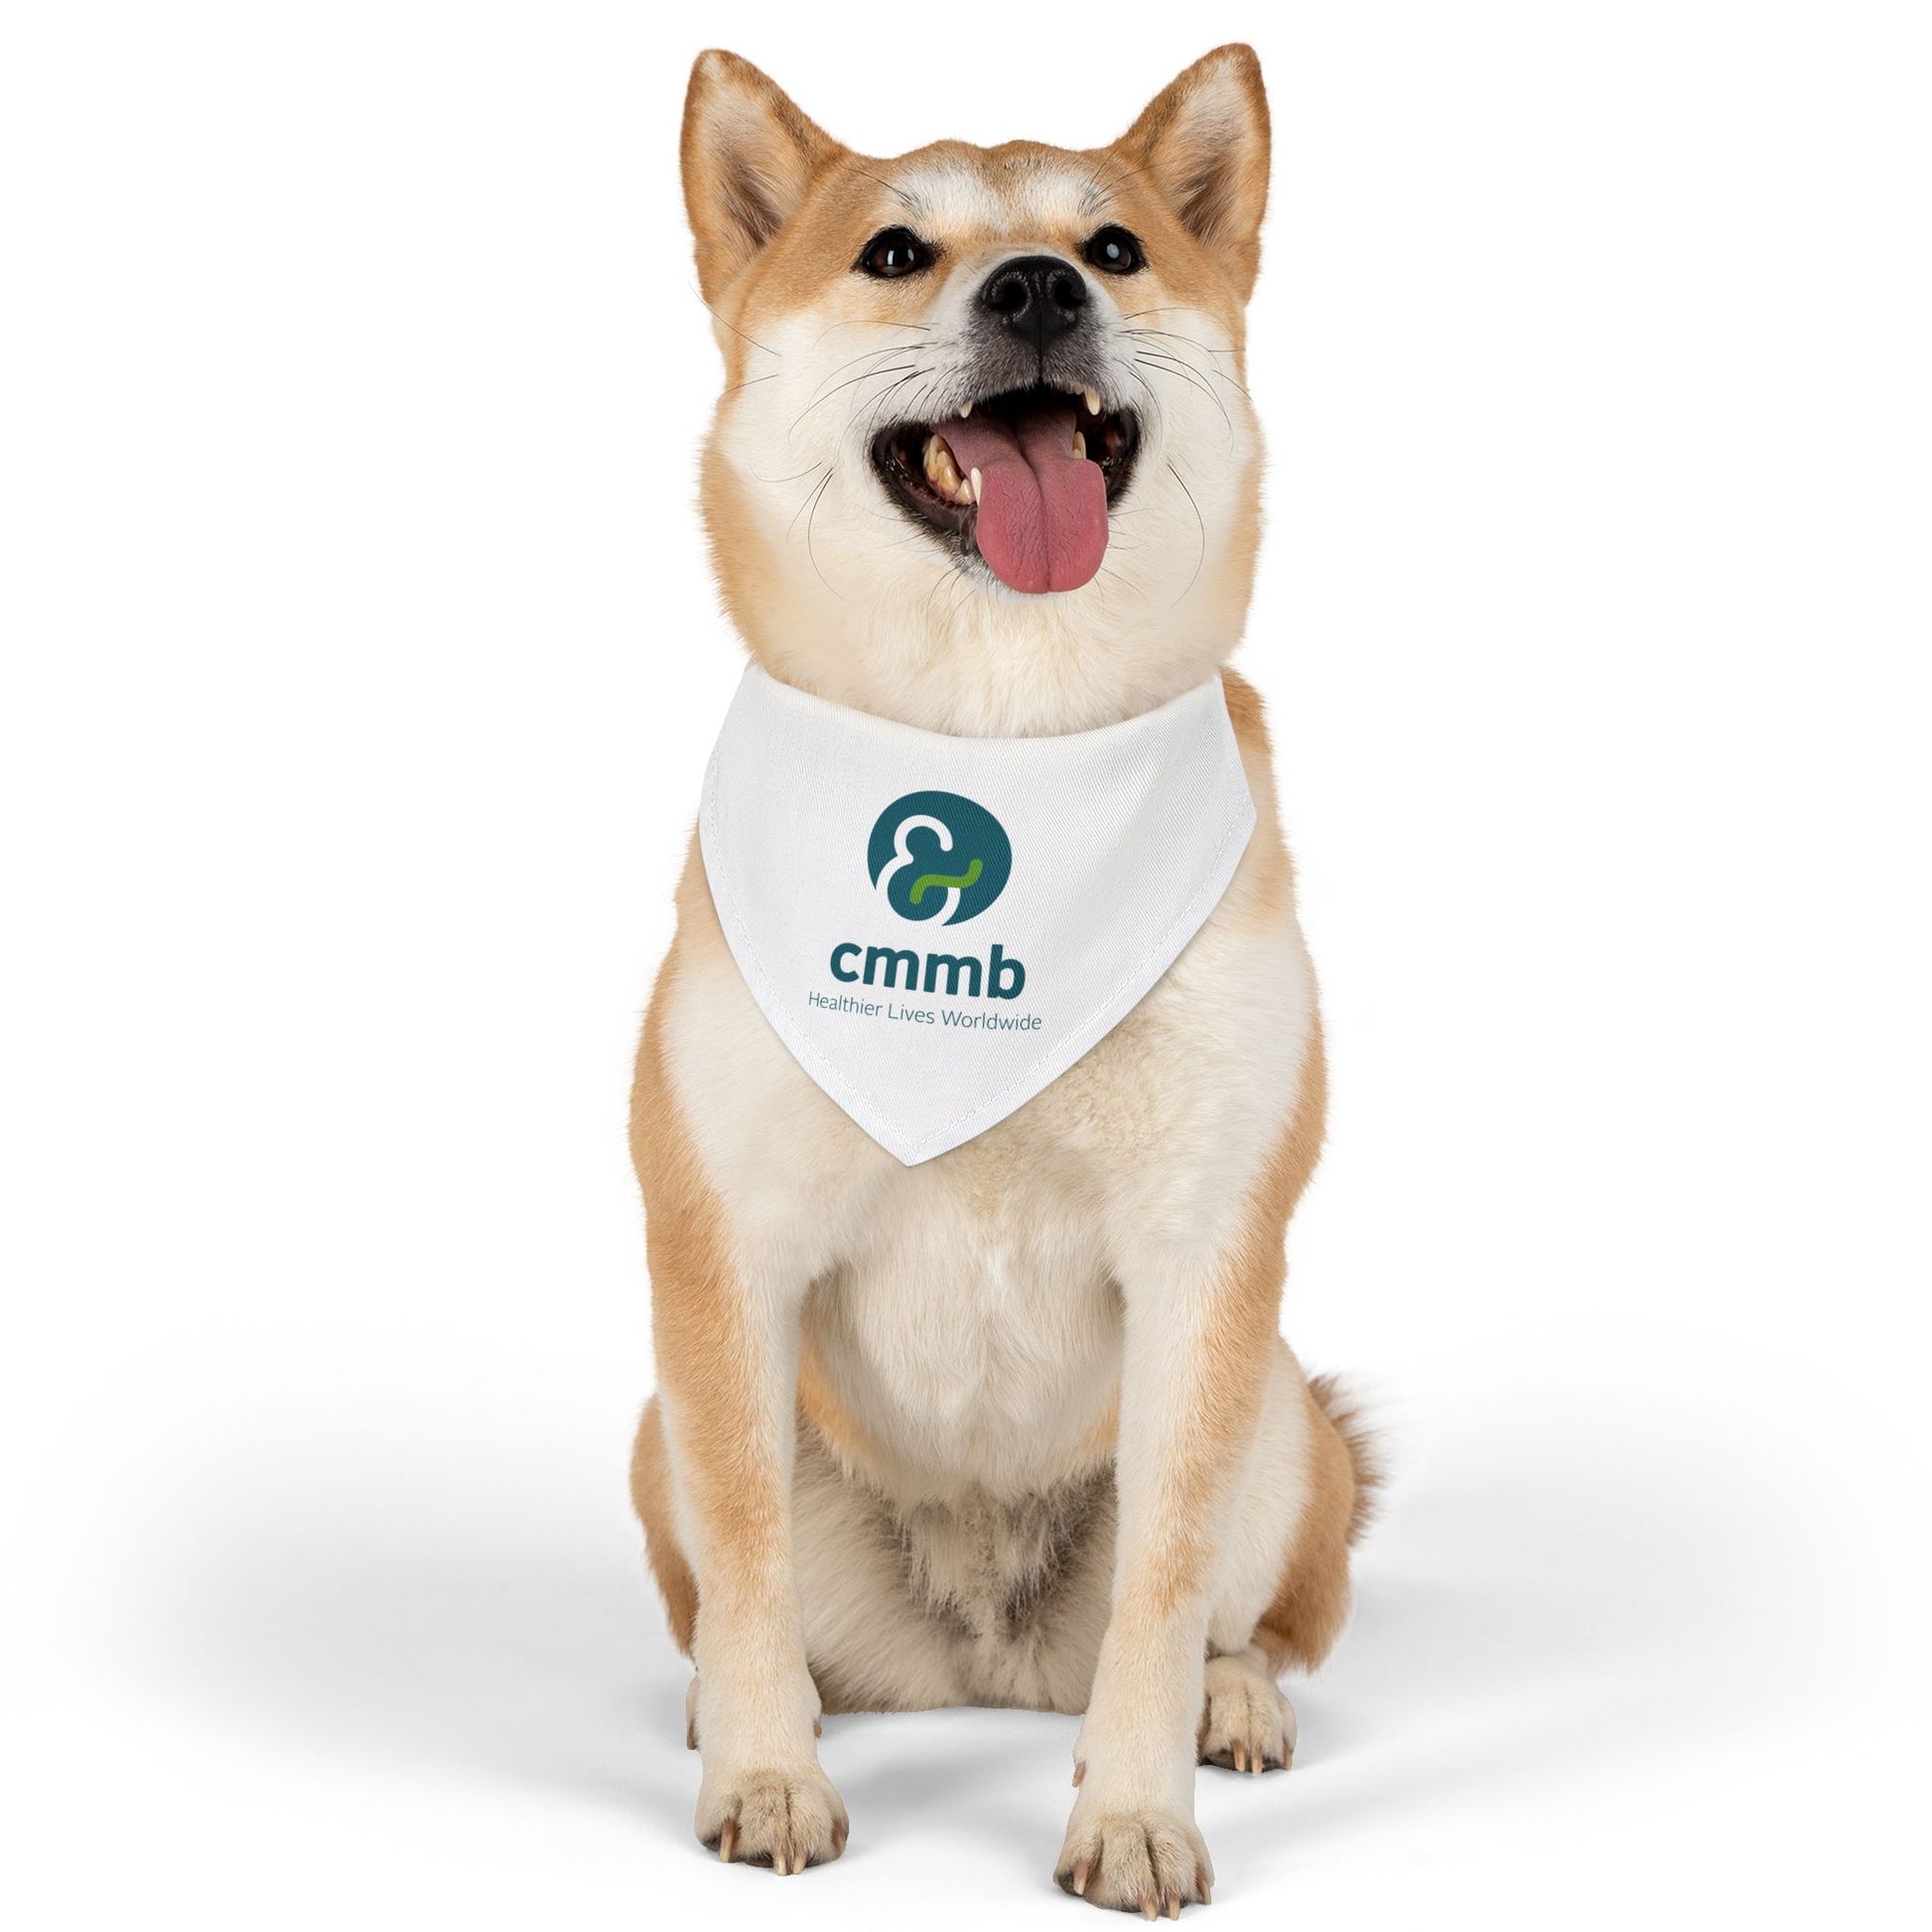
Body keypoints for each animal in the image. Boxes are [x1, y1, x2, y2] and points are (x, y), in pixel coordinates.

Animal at [629, 44, 1377, 1912]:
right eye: (895, 253)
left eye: (1111, 245)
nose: (1034, 287)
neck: (997, 745)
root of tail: (978, 1655)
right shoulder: (724, 1252)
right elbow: (748, 1560)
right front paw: (765, 1772)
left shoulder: (1203, 1261)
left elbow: (1165, 1587)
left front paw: (1135, 1810)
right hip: (657, 1427)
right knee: (739, 1595)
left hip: (1282, 1415)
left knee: (1242, 1611)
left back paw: (1230, 1702)